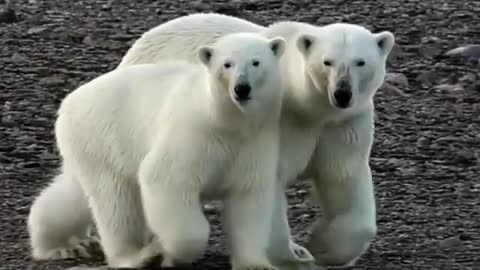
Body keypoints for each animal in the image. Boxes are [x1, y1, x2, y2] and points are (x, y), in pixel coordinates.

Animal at [51, 32, 288, 268]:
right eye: (227, 64)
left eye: (256, 62)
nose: (242, 88)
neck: (224, 121)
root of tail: (67, 103)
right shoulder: (194, 136)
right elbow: (166, 181)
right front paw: (170, 252)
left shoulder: (254, 143)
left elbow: (248, 199)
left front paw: (255, 263)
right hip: (101, 140)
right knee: (116, 204)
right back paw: (138, 256)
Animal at [116, 13, 394, 268]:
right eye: (327, 62)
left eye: (360, 62)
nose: (342, 93)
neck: (310, 109)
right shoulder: (280, 122)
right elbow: (271, 181)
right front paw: (292, 255)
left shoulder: (342, 125)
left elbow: (342, 176)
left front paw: (323, 248)